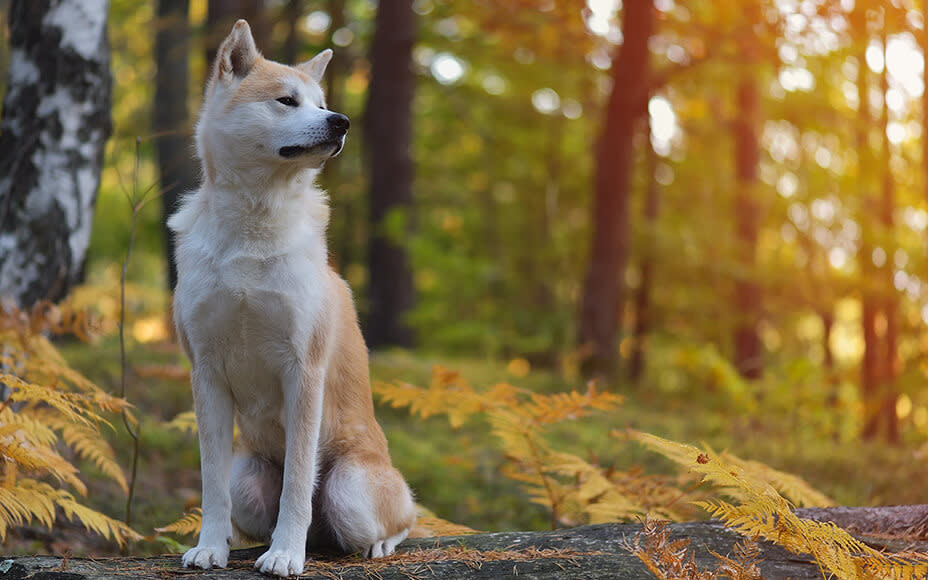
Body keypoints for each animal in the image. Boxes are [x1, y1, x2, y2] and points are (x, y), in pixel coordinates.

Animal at [169, 20, 416, 576]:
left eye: (322, 104)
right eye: (287, 101)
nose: (341, 122)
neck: (252, 227)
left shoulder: (303, 370)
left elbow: (300, 483)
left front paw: (285, 554)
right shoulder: (205, 374)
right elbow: (210, 484)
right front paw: (210, 547)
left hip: (351, 491)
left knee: (401, 519)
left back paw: (373, 544)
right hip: (247, 480)